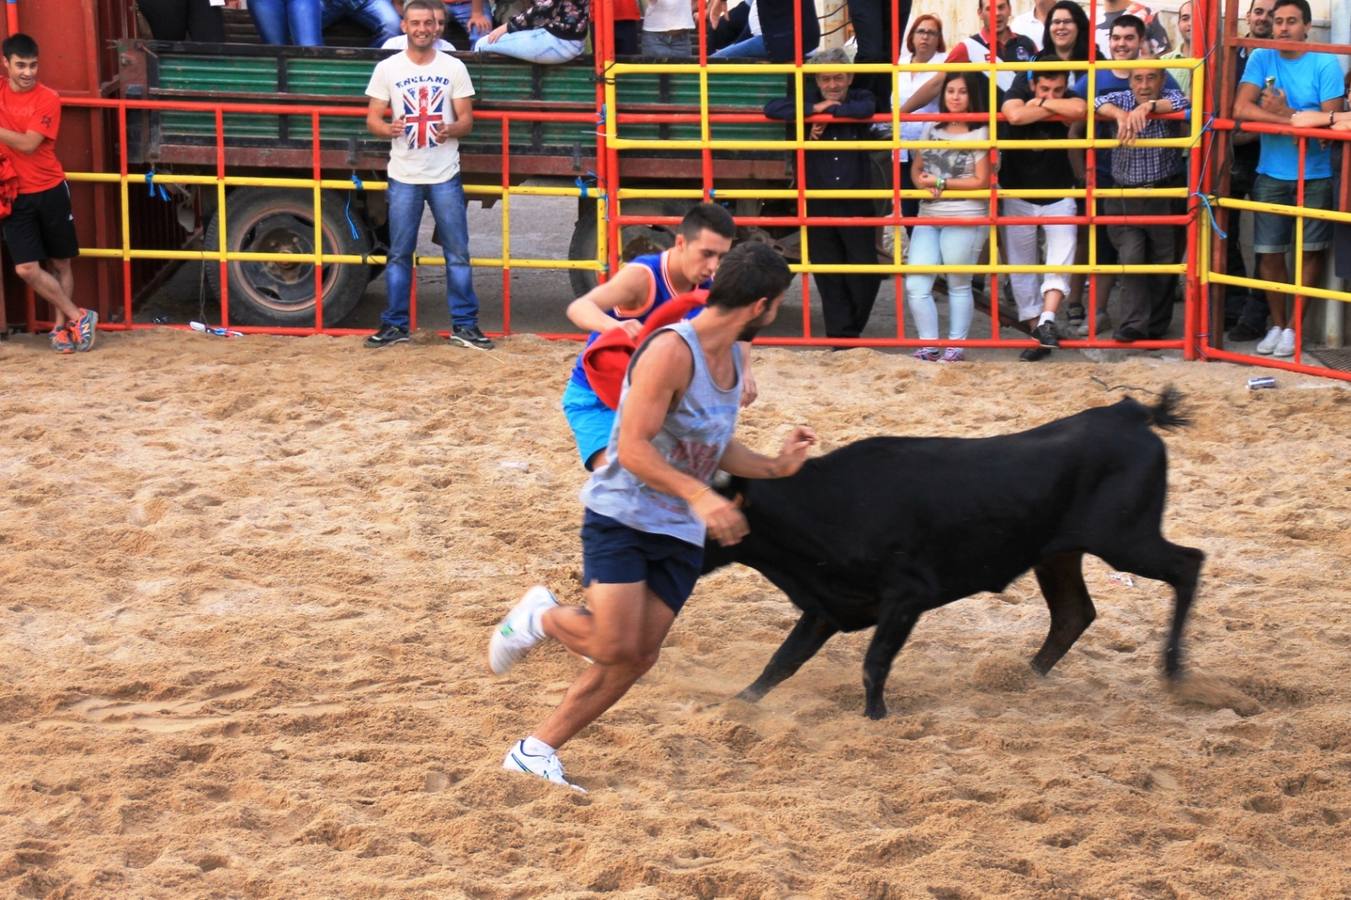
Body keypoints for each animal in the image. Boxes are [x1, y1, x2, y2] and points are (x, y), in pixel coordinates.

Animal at [697, 389, 1205, 718]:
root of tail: (1128, 413)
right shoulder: (827, 606)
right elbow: (781, 662)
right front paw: (732, 707)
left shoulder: (907, 597)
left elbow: (873, 664)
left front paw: (878, 719)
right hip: (1058, 555)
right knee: (1073, 614)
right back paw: (1021, 680)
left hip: (1126, 541)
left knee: (1187, 564)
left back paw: (1173, 670)